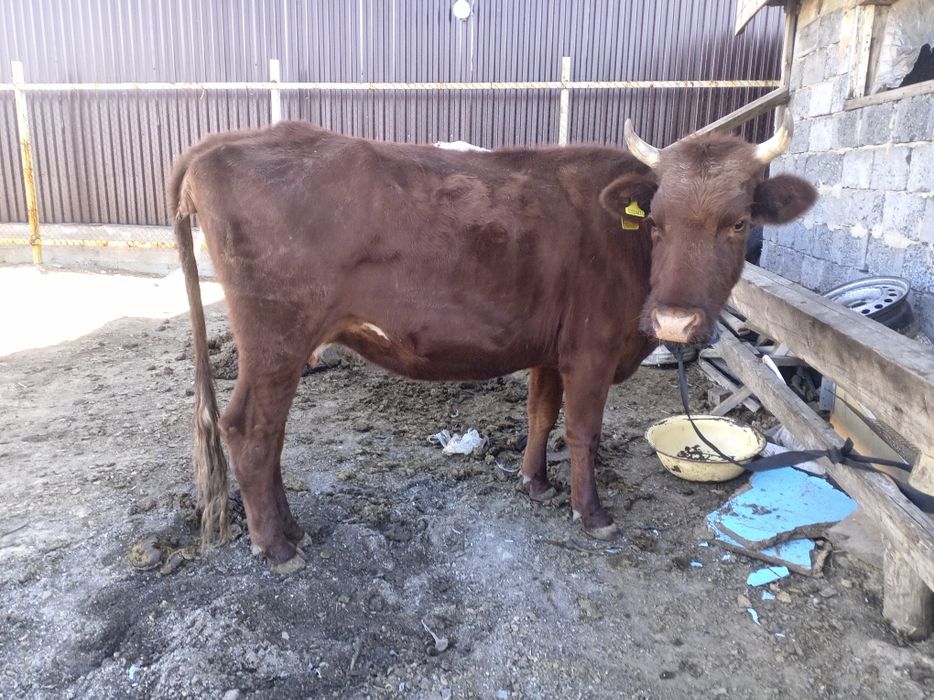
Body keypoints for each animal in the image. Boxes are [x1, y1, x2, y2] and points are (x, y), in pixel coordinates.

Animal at [168, 115, 816, 574]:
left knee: (271, 434)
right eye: (655, 222)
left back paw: (291, 528)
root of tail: (222, 142)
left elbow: (540, 414)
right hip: (275, 338)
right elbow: (583, 432)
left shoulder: (553, 349)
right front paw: (592, 513)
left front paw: (535, 483)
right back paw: (276, 547)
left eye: (738, 222)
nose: (676, 321)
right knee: (249, 428)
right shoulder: (592, 351)